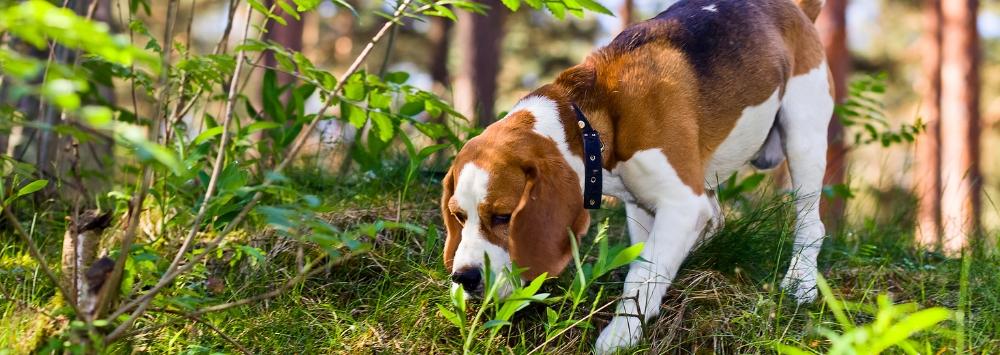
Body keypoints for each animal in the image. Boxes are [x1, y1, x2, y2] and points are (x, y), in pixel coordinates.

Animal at [442, 0, 832, 352]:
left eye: (503, 216)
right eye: (459, 217)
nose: (463, 277)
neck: (590, 121)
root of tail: (796, 10)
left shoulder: (680, 204)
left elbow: (642, 275)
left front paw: (620, 335)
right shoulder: (641, 205)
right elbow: (646, 264)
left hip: (803, 138)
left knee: (811, 222)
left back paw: (801, 282)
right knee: (715, 218)